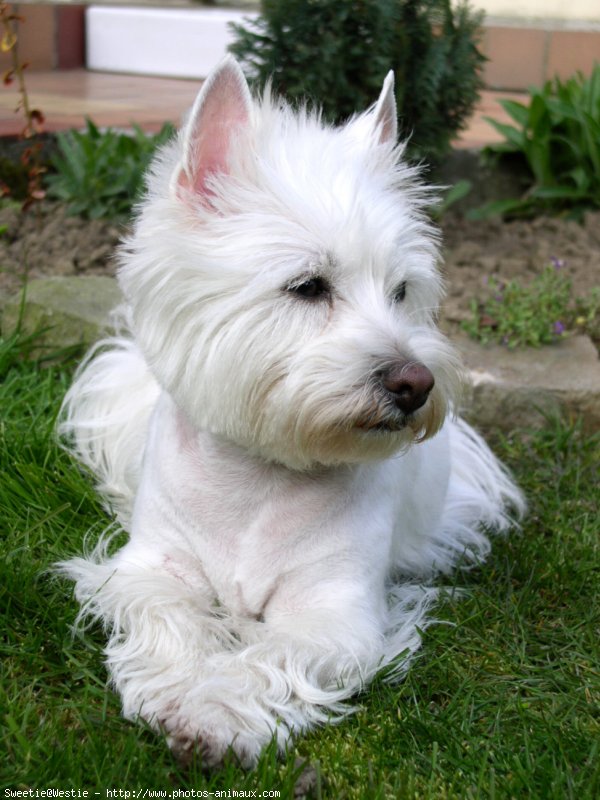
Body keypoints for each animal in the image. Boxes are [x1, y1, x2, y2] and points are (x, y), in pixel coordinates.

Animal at [58, 57, 524, 768]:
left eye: (401, 291)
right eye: (307, 287)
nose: (415, 383)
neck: (259, 477)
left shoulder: (333, 612)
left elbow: (271, 656)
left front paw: (212, 713)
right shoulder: (151, 568)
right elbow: (168, 615)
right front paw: (173, 683)